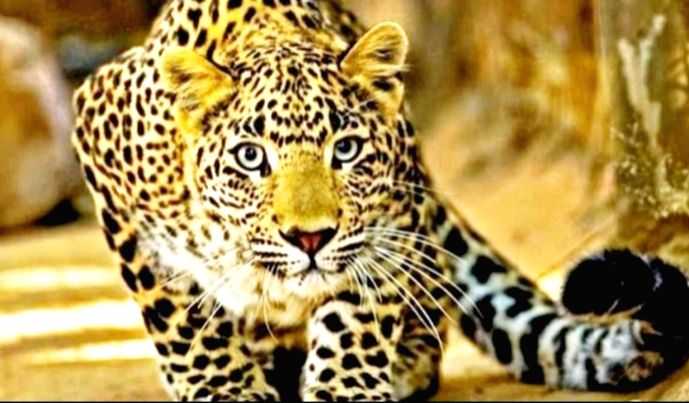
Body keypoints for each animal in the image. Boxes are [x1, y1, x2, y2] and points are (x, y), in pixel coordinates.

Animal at [71, 0, 689, 400]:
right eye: (251, 158)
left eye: (345, 149)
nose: (310, 238)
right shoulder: (101, 148)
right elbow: (181, 318)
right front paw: (224, 389)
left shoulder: (390, 223)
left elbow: (355, 320)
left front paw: (346, 388)